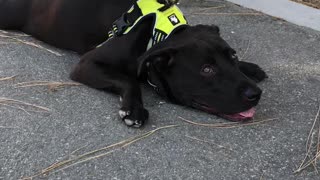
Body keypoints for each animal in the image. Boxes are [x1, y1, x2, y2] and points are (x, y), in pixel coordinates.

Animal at [0, 0, 268, 127]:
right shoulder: (87, 64)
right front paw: (133, 110)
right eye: (207, 70)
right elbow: (129, 80)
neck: (158, 33)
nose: (255, 94)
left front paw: (250, 67)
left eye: (233, 56)